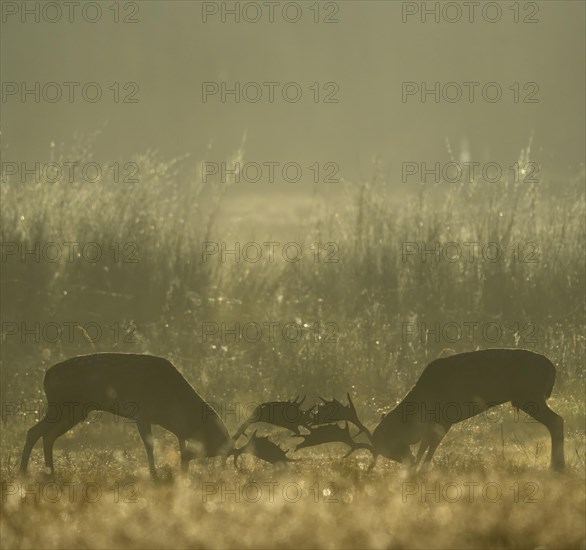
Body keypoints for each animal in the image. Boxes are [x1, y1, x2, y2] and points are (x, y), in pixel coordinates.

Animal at [20, 354, 230, 478]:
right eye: (211, 446)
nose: (184, 464)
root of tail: (46, 376)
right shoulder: (142, 412)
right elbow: (149, 445)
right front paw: (154, 475)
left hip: (75, 411)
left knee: (48, 435)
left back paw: (50, 472)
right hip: (60, 406)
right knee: (34, 431)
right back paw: (23, 471)